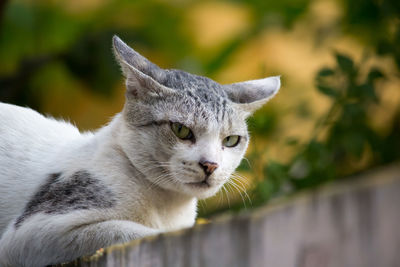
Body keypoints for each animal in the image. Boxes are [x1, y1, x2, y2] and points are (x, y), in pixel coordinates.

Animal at [0, 36, 282, 267]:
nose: (210, 164)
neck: (167, 205)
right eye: (181, 130)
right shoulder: (29, 235)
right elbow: (130, 231)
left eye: (231, 140)